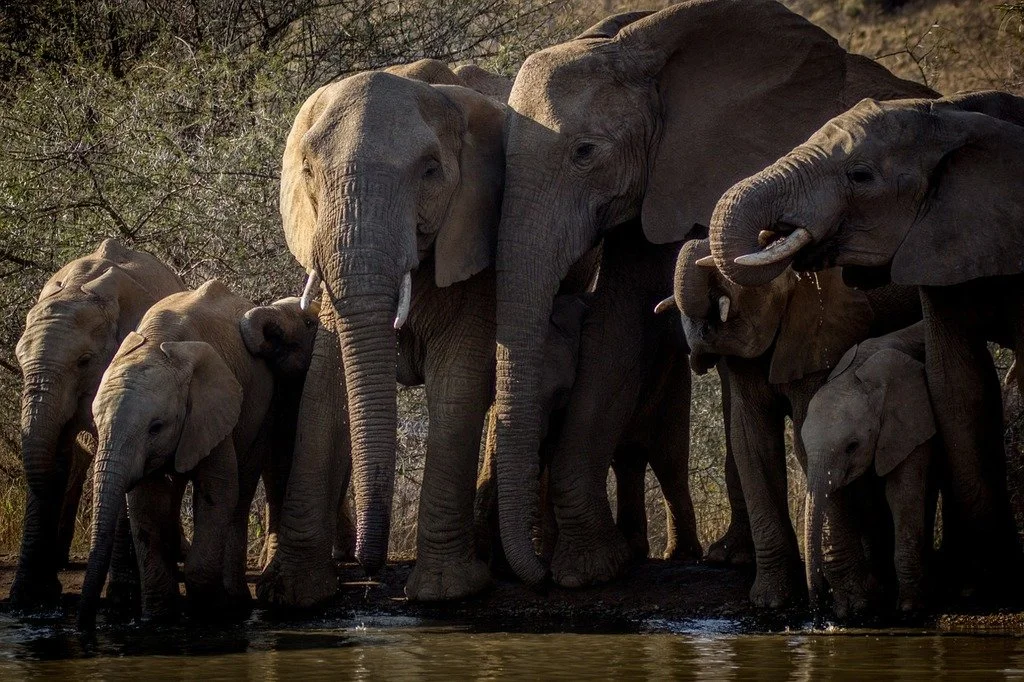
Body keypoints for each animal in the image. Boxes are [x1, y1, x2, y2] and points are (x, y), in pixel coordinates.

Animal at [11, 238, 184, 609]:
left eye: (85, 361)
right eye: (19, 358)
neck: (78, 287)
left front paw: (122, 598)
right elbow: (56, 452)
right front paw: (28, 598)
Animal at [78, 281, 318, 629]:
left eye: (156, 427)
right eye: (96, 423)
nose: (85, 626)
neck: (157, 347)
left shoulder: (212, 410)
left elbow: (218, 492)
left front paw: (213, 613)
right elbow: (145, 503)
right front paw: (158, 619)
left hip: (261, 407)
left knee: (241, 490)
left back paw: (236, 601)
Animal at [802, 322, 937, 616]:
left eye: (852, 446)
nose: (818, 610)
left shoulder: (912, 419)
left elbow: (901, 494)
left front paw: (909, 607)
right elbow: (864, 497)